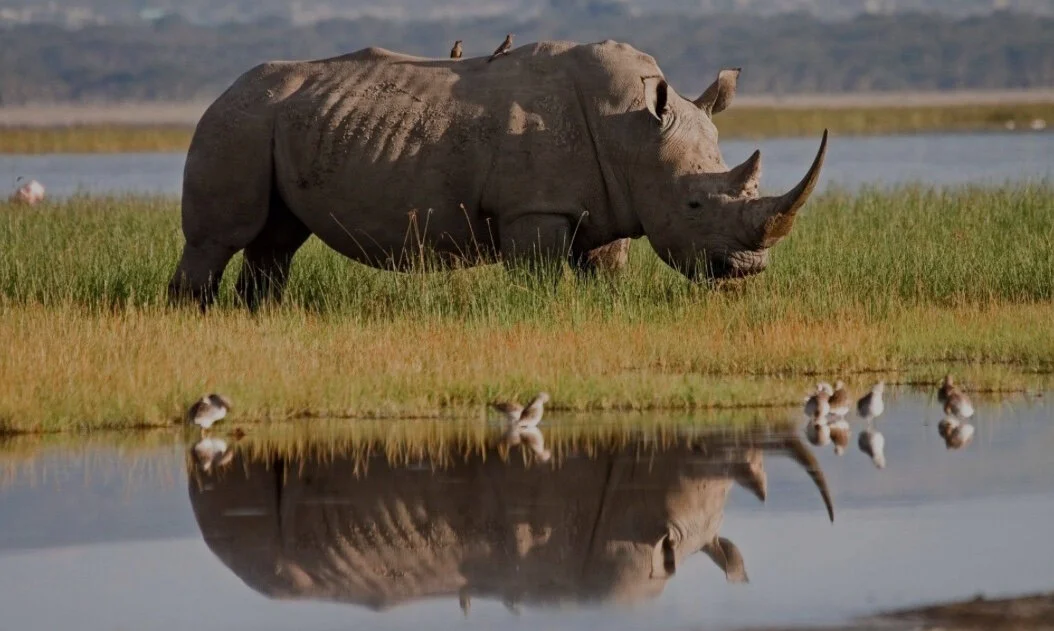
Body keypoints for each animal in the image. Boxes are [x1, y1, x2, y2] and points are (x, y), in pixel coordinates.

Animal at [169, 40, 827, 309]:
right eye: (693, 206)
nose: (747, 270)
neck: (633, 134)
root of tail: (224, 90)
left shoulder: (611, 203)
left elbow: (605, 271)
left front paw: (604, 309)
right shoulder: (533, 210)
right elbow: (539, 277)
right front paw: (544, 312)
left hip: (272, 123)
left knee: (277, 241)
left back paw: (259, 316)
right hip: (235, 122)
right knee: (218, 239)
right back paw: (194, 315)